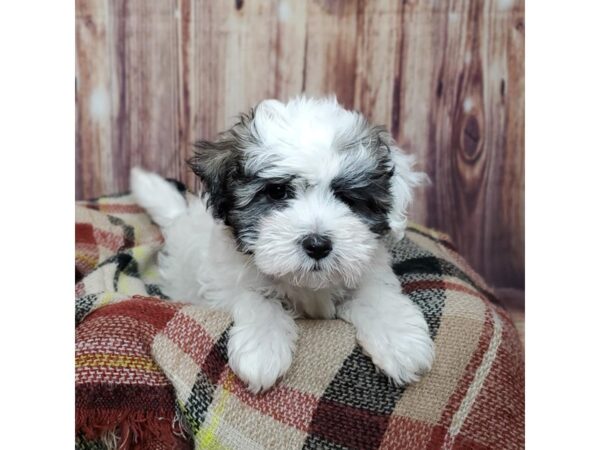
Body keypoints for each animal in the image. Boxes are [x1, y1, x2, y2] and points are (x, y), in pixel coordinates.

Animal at [131, 96, 434, 394]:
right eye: (277, 192)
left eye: (347, 198)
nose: (317, 244)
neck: (306, 285)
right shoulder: (225, 284)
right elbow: (257, 299)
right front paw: (262, 350)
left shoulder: (367, 269)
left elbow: (376, 296)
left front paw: (400, 341)